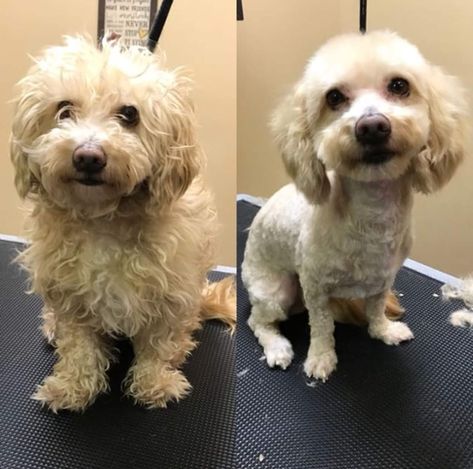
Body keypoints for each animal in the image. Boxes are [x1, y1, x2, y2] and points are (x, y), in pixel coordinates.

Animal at [12, 35, 236, 410]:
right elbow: (80, 347)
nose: (88, 156)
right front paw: (73, 387)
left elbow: (158, 345)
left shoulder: (169, 297)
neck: (105, 219)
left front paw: (154, 383)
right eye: (64, 109)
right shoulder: (71, 297)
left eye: (130, 114)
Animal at [243, 31, 468, 380]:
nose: (372, 126)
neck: (372, 214)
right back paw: (277, 347)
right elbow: (321, 327)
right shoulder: (315, 286)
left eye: (399, 85)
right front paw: (321, 359)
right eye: (334, 97)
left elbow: (375, 308)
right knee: (259, 321)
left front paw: (383, 330)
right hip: (276, 291)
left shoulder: (384, 277)